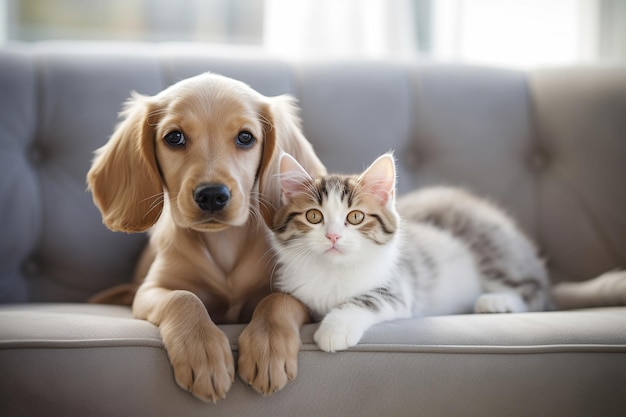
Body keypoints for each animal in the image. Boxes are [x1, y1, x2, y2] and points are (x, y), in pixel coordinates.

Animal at [88, 73, 326, 402]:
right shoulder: (150, 290)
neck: (223, 242)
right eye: (174, 137)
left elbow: (277, 300)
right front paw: (203, 353)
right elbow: (182, 297)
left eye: (245, 137)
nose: (212, 195)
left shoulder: (304, 293)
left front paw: (268, 348)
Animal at [270, 153, 620, 352]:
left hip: (489, 246)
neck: (334, 271)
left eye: (355, 217)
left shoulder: (399, 287)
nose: (332, 235)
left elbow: (366, 299)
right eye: (314, 216)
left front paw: (334, 330)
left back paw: (497, 301)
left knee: (533, 292)